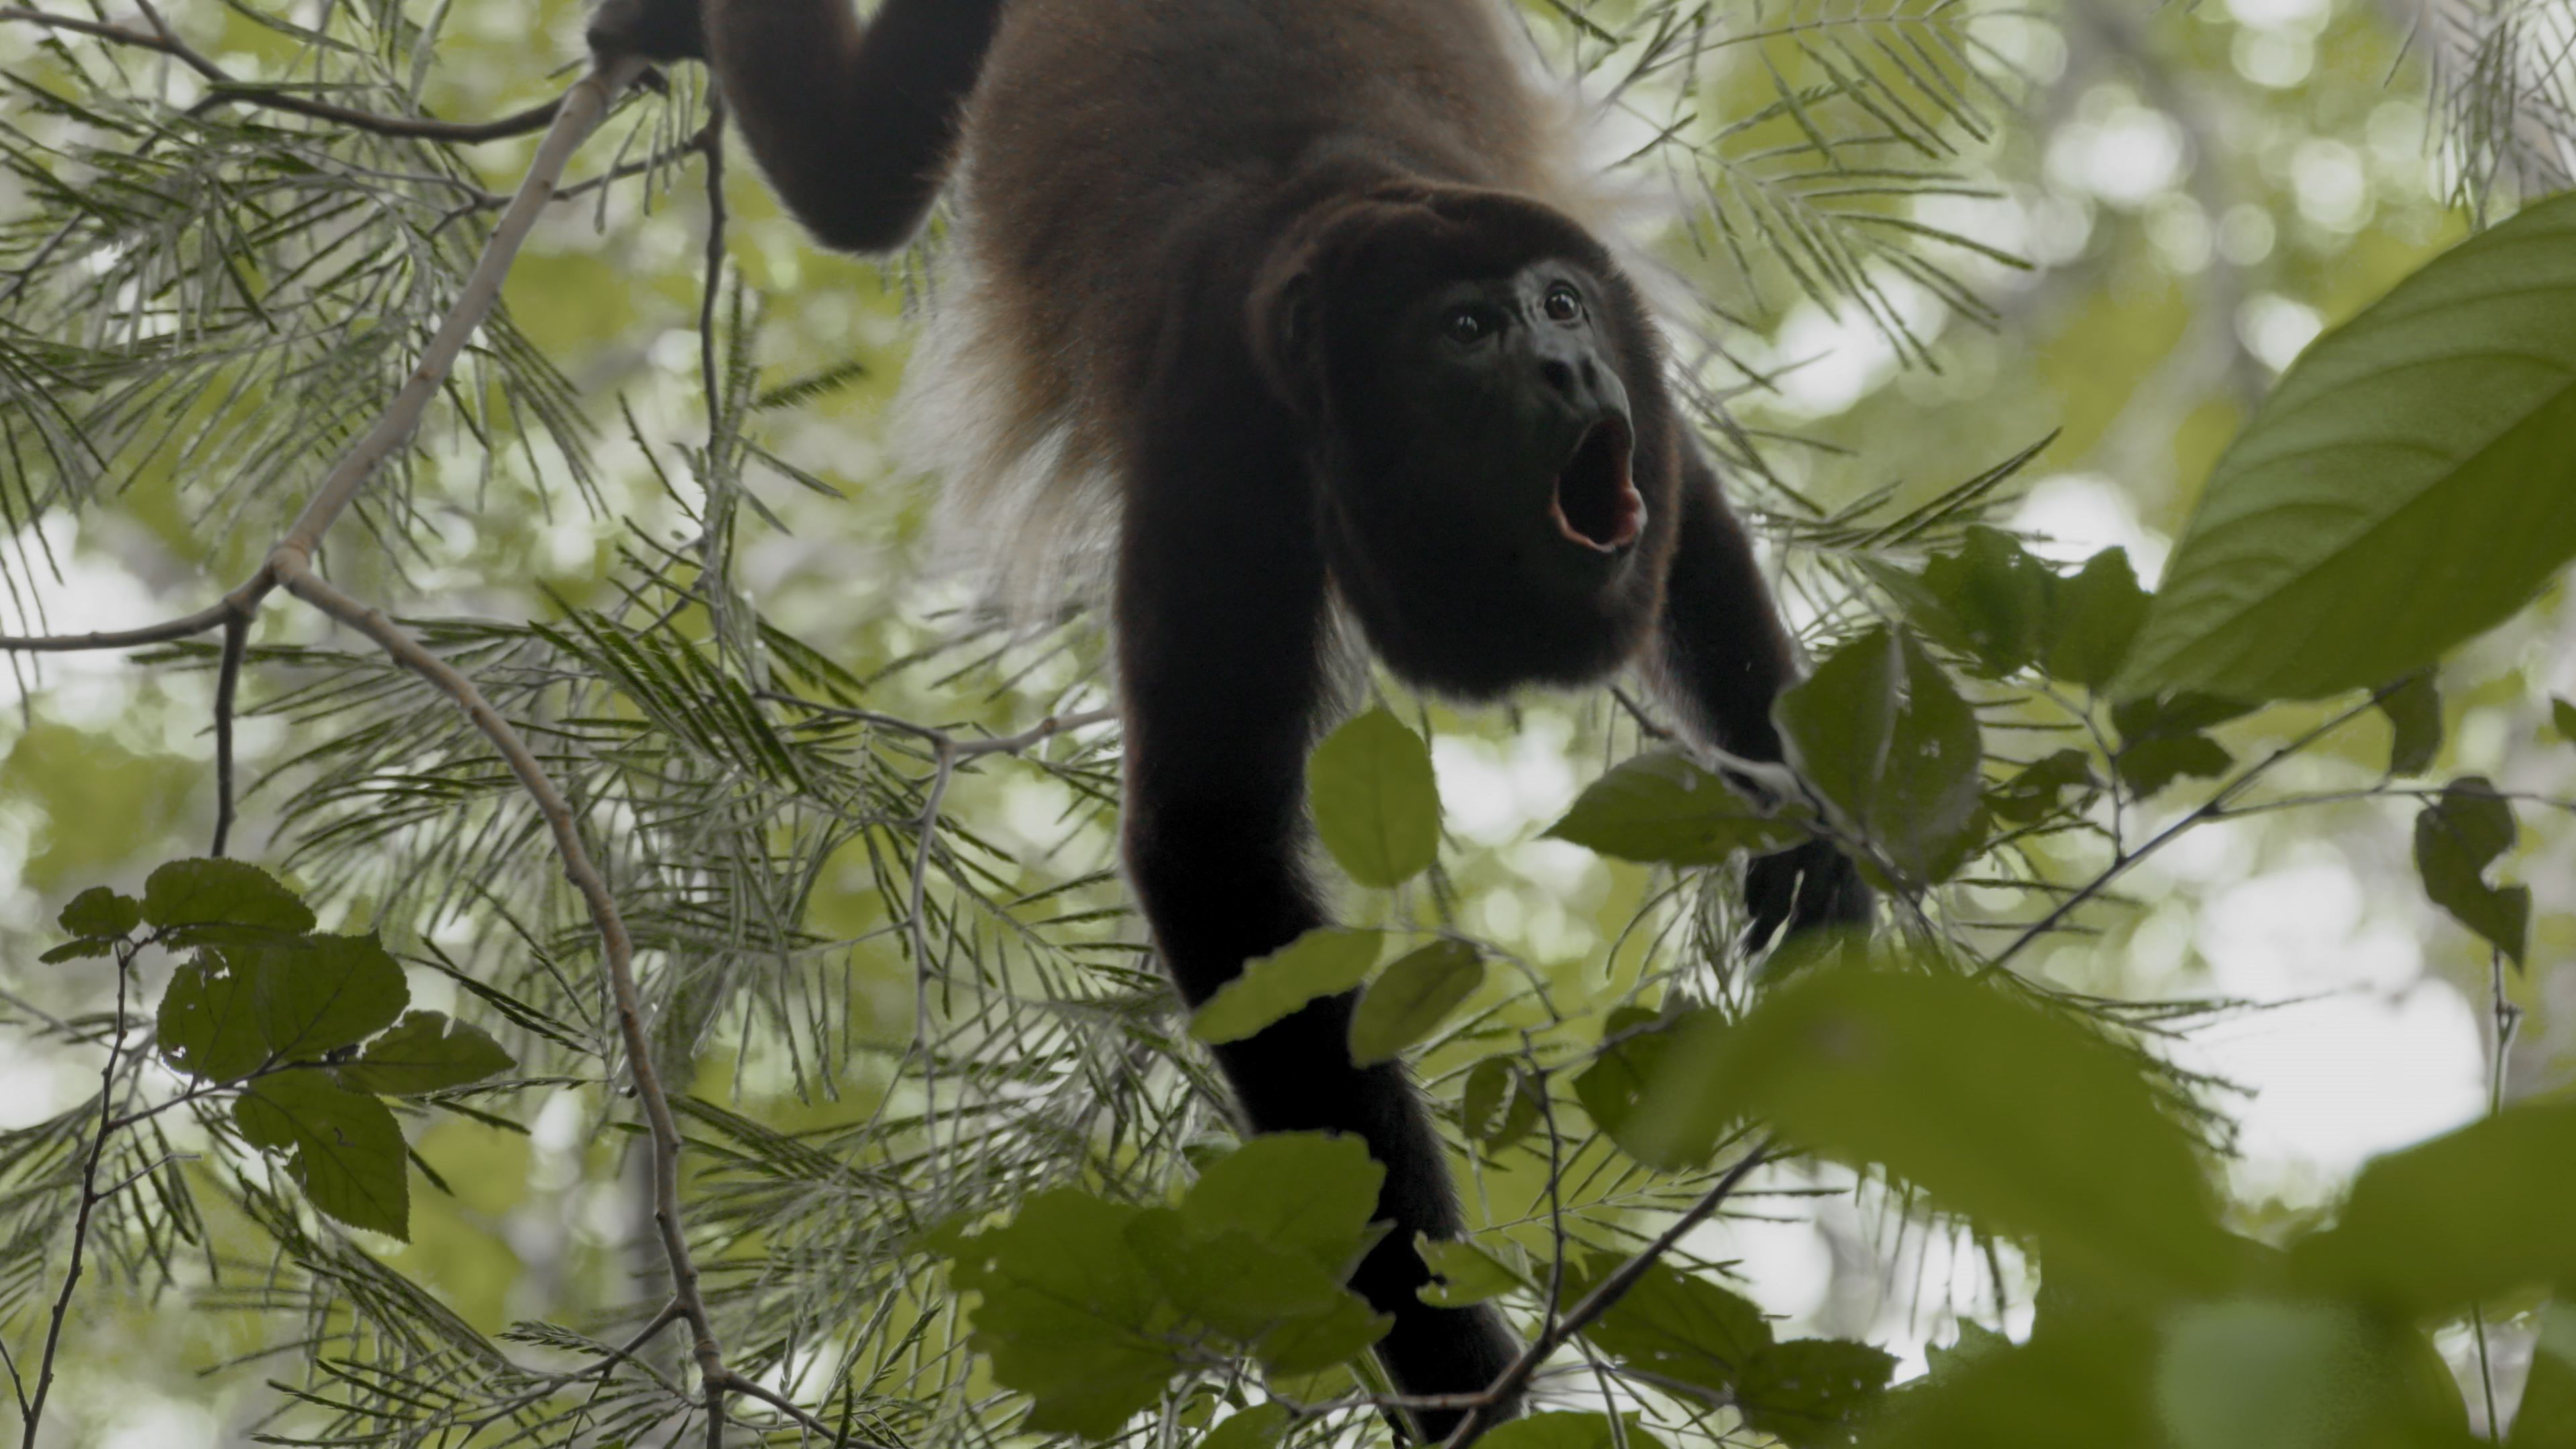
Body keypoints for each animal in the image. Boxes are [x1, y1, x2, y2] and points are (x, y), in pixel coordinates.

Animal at [584, 0, 1875, 1423]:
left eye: (1560, 301)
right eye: (1467, 331)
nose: (1567, 360)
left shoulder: (1634, 425)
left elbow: (1693, 532)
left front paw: (1812, 843)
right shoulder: (1224, 437)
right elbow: (1213, 851)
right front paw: (1455, 1366)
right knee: (856, 188)